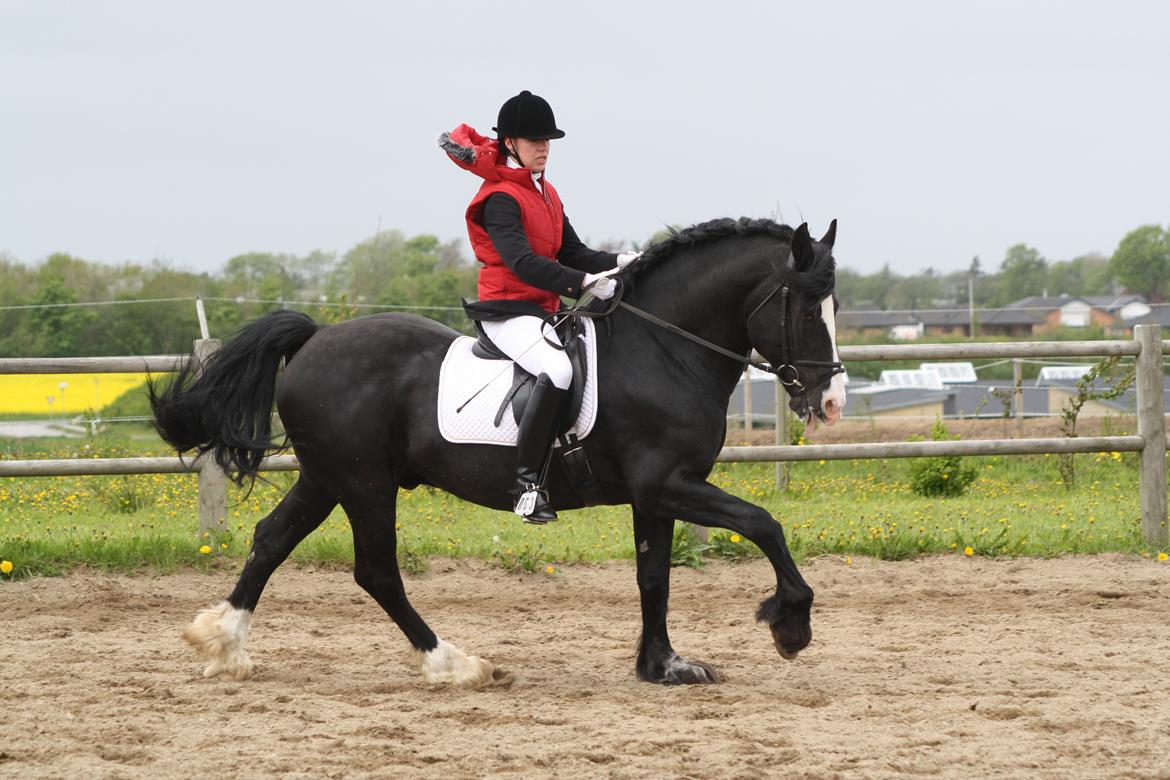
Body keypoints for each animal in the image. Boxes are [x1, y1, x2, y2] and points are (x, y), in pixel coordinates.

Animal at [157, 216, 851, 687]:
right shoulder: (667, 484)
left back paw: (224, 643)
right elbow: (764, 523)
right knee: (376, 570)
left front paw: (663, 665)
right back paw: (455, 663)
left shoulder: (655, 494)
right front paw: (791, 624)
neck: (663, 350)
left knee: (272, 539)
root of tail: (313, 339)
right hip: (364, 485)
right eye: (805, 309)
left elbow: (654, 574)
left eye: (836, 305)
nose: (832, 400)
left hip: (328, 479)